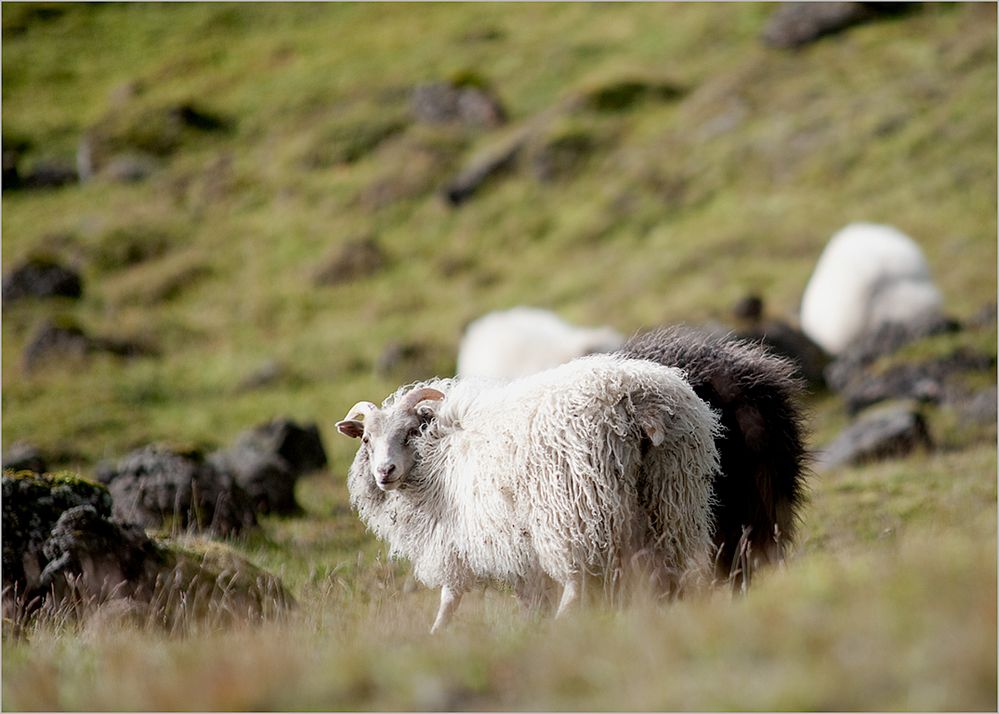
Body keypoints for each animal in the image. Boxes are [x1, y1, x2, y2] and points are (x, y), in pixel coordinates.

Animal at [336, 354, 720, 632]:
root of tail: (636, 400)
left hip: (572, 510)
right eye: (366, 440)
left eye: (408, 433)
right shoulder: (514, 549)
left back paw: (561, 626)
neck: (438, 453)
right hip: (670, 498)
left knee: (577, 581)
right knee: (667, 570)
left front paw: (436, 634)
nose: (384, 472)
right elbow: (529, 597)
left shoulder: (458, 540)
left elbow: (450, 597)